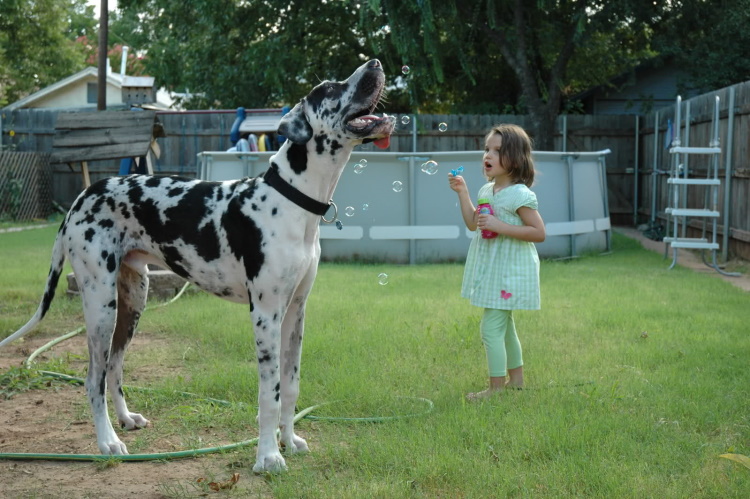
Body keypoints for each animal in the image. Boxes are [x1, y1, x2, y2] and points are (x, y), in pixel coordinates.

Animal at [0, 58, 396, 472]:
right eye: (331, 88)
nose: (375, 63)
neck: (290, 199)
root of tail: (81, 198)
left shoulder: (295, 312)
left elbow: (289, 386)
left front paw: (288, 440)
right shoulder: (265, 314)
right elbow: (268, 394)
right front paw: (268, 456)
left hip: (133, 299)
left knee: (114, 367)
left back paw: (125, 420)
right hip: (99, 304)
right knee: (93, 377)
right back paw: (107, 442)